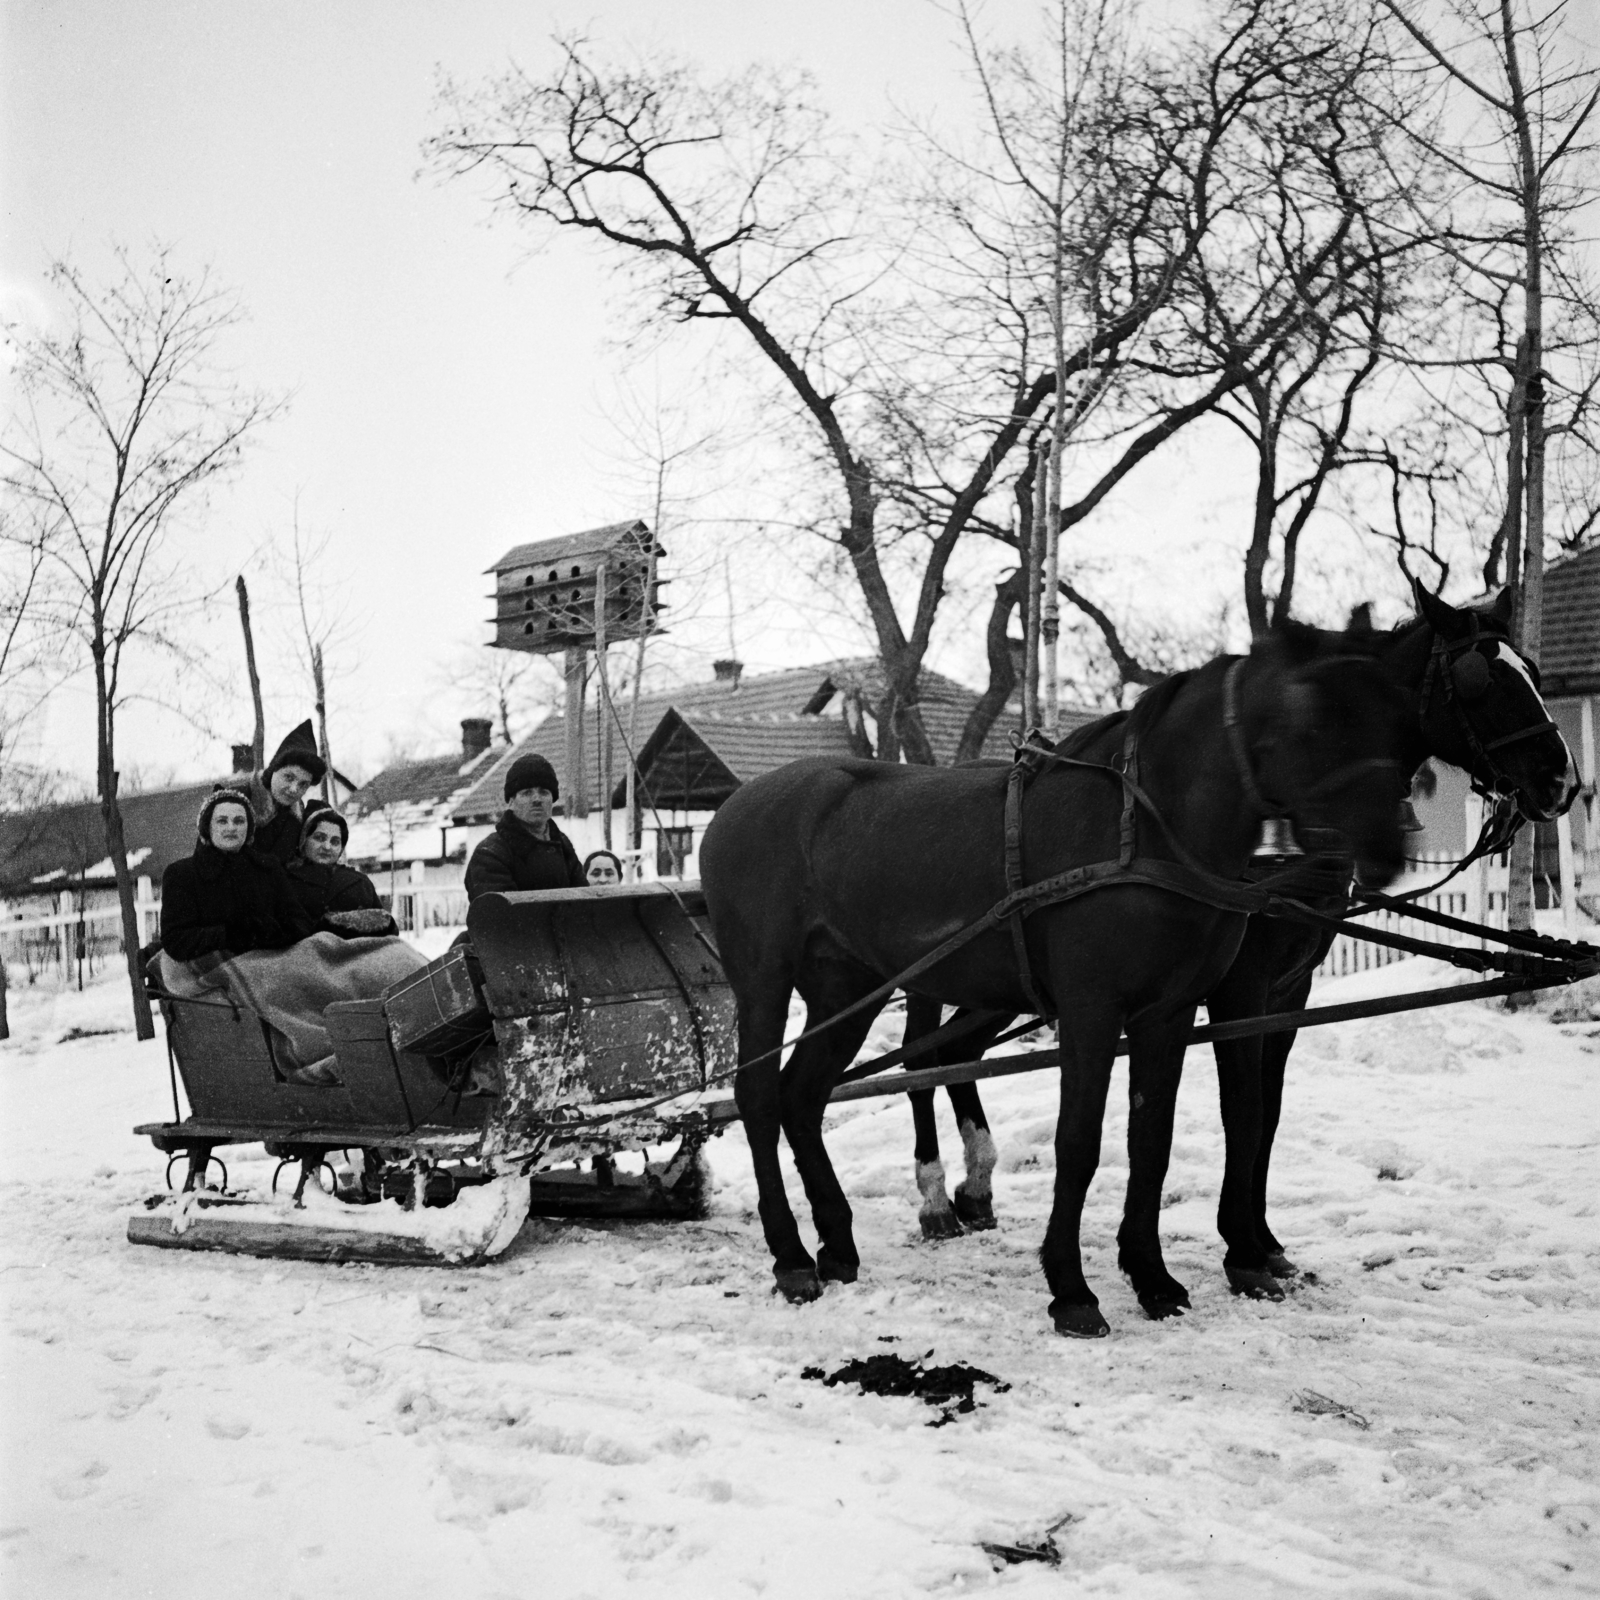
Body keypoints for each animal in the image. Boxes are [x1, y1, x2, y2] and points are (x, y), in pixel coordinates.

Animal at [704, 598, 1574, 1337]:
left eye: (1383, 712)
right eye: (1483, 679)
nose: (1559, 780)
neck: (1151, 829)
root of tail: (736, 806)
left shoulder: (1184, 1009)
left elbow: (1165, 1135)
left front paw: (1159, 1275)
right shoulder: (1125, 1008)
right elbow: (1094, 1139)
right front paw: (1079, 1287)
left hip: (848, 988)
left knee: (808, 1094)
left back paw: (842, 1241)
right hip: (770, 980)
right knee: (763, 1096)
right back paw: (802, 1250)